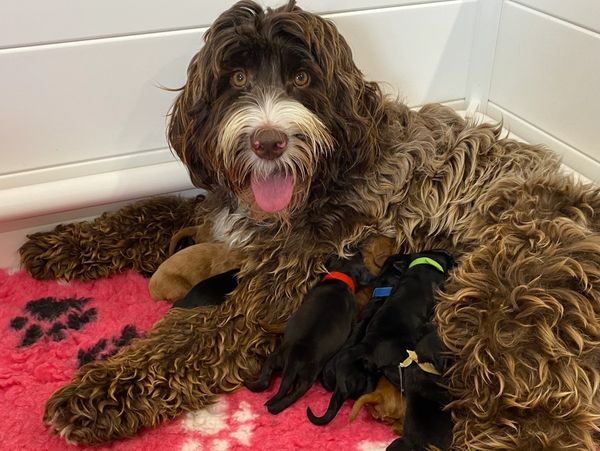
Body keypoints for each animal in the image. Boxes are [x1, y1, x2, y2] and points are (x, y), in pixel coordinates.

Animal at [243, 252, 370, 414]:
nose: (358, 250)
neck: (341, 278)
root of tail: (294, 359)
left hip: (277, 359)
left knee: (268, 381)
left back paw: (261, 394)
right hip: (307, 377)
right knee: (290, 395)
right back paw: (274, 407)